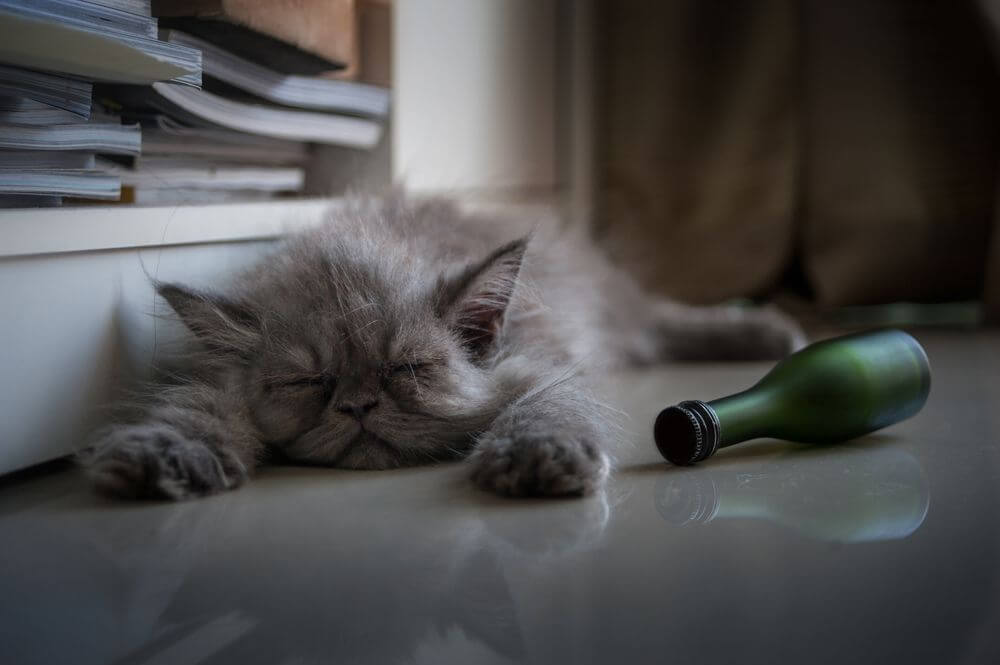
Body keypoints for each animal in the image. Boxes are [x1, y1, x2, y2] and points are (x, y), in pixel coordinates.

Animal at [84, 197, 804, 498]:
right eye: (307, 383)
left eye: (407, 368)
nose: (357, 406)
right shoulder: (216, 388)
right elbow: (195, 416)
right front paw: (162, 457)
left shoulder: (542, 364)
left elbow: (546, 411)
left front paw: (536, 457)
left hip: (620, 310)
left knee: (663, 320)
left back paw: (769, 332)